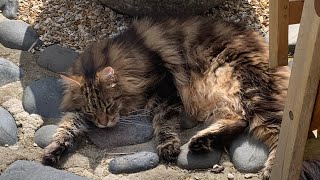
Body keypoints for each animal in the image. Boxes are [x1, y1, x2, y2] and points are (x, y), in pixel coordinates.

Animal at [42, 16, 292, 179]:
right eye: (91, 110)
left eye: (110, 104)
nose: (104, 124)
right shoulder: (78, 113)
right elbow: (66, 128)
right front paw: (53, 152)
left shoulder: (165, 88)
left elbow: (163, 122)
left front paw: (168, 147)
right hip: (226, 100)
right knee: (239, 121)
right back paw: (201, 142)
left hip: (253, 95)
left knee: (277, 131)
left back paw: (272, 170)